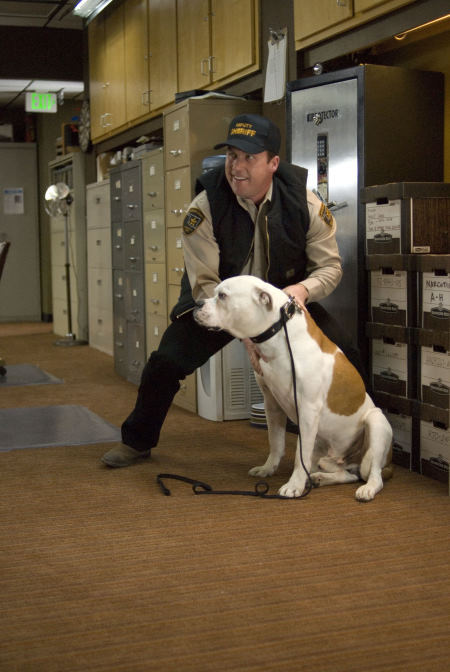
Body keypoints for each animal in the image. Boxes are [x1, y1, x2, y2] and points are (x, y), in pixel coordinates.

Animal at [195, 276, 392, 502]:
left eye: (222, 296)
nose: (197, 303)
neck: (278, 333)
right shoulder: (272, 403)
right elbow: (276, 442)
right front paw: (267, 469)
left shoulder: (307, 409)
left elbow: (300, 455)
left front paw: (294, 486)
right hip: (326, 453)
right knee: (348, 473)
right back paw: (321, 478)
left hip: (375, 421)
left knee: (373, 474)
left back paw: (366, 489)